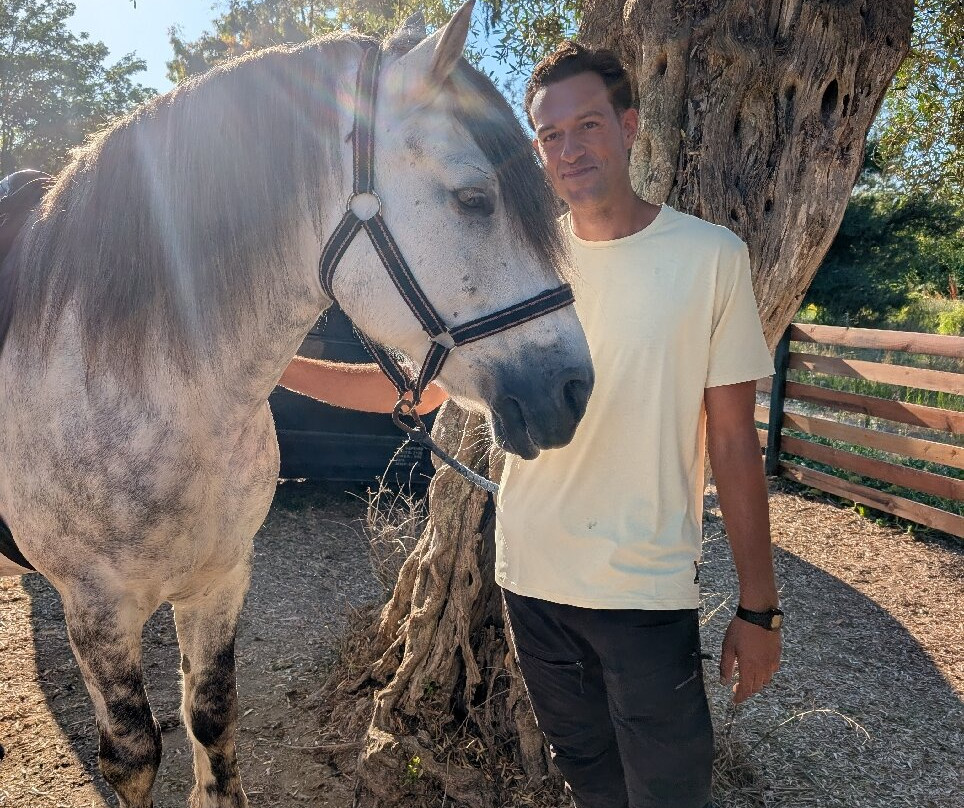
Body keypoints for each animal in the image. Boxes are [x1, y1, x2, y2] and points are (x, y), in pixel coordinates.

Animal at [0, 4, 593, 806]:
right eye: (475, 198)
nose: (572, 390)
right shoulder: (96, 610)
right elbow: (134, 754)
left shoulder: (220, 581)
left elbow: (212, 721)